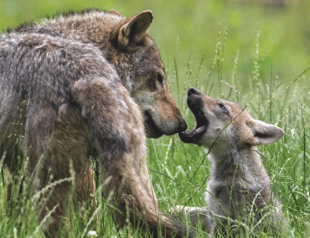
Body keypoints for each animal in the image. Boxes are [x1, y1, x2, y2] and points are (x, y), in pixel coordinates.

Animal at [0, 9, 190, 238]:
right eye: (159, 78)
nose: (183, 125)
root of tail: (89, 77)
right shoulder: (17, 165)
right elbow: (13, 214)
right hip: (134, 170)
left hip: (47, 181)